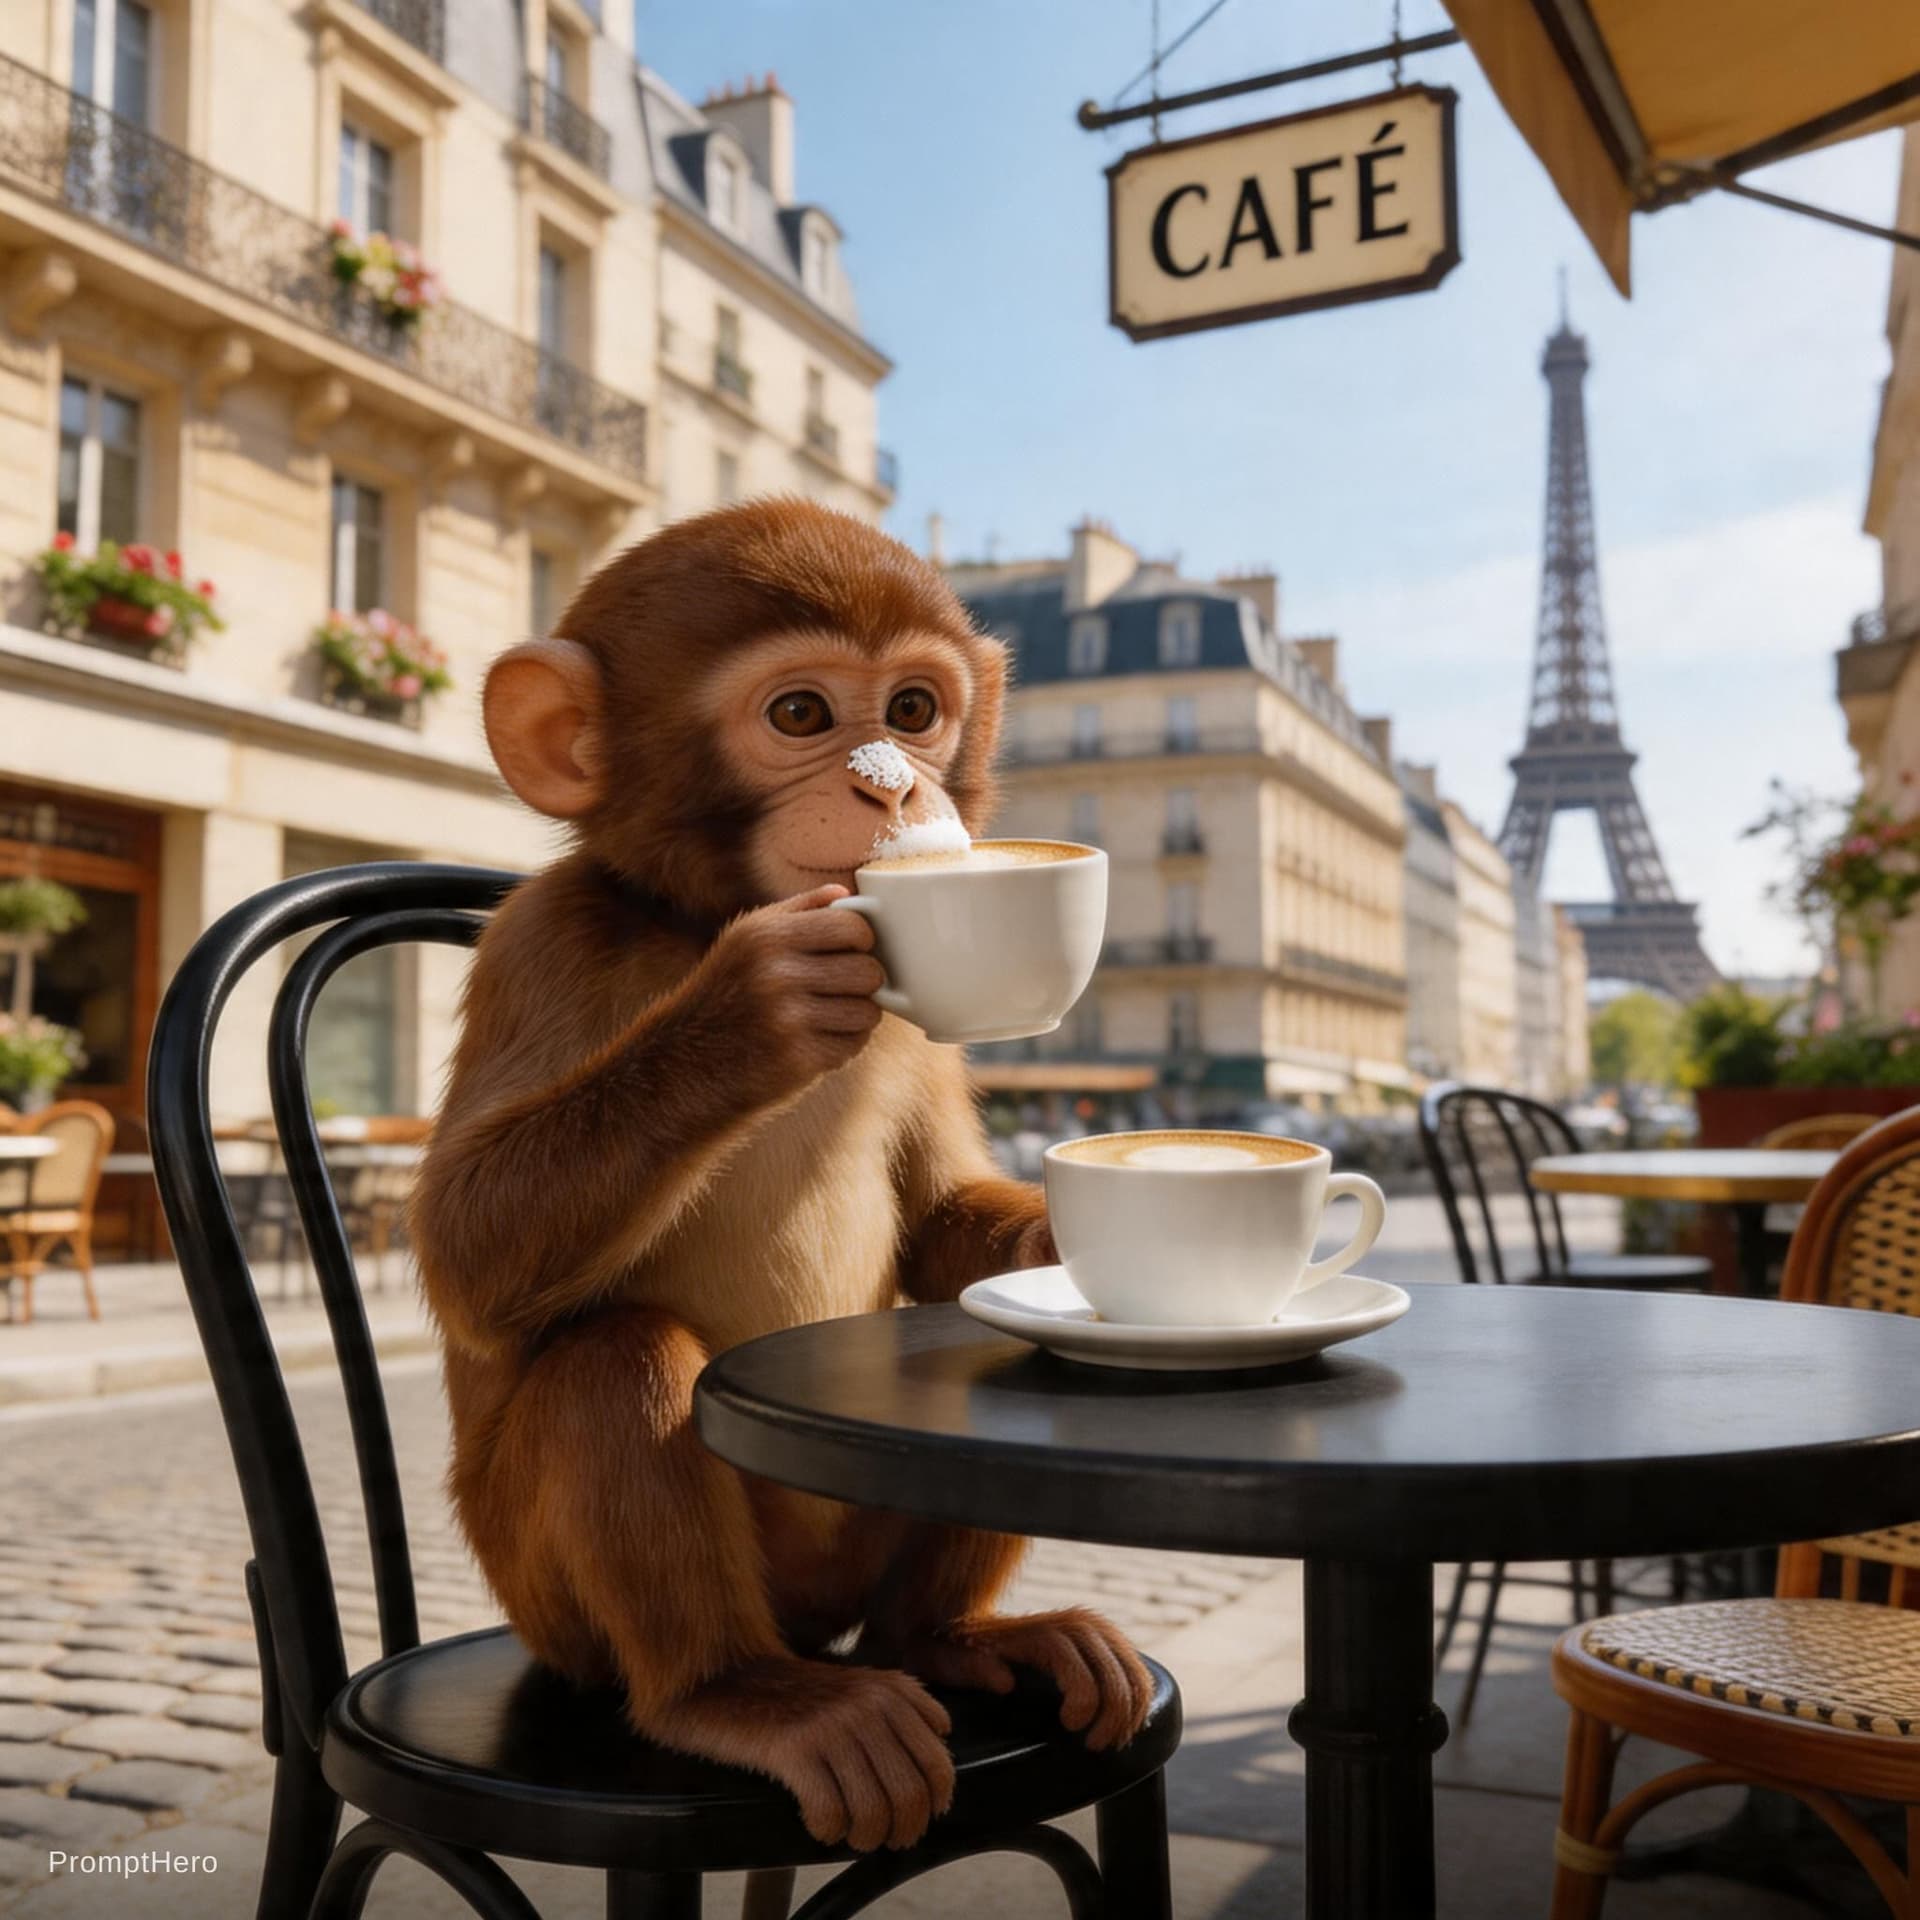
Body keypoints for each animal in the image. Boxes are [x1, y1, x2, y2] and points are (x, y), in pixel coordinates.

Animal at [410, 499, 1153, 1856]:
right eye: (803, 715)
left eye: (912, 708)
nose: (894, 780)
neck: (694, 919)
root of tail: (814, 1633)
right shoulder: (545, 941)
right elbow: (463, 1252)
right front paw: (747, 1017)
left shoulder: (918, 1030)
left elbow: (937, 1217)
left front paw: (1050, 1250)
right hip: (552, 1607)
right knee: (613, 1359)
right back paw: (738, 1695)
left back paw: (953, 1641)